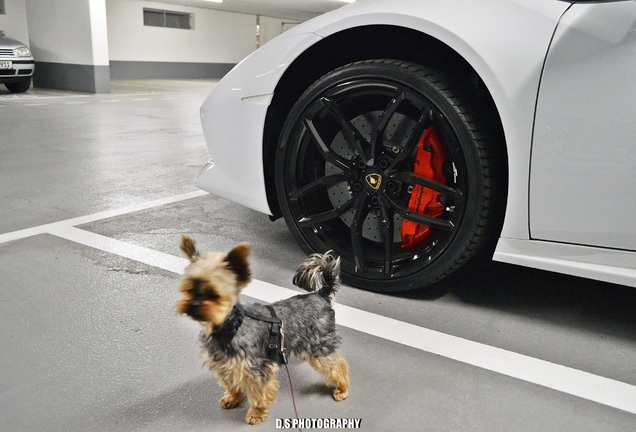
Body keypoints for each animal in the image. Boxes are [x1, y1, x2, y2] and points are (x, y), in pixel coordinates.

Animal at [176, 235, 350, 424]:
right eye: (189, 289)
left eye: (213, 294)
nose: (193, 304)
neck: (230, 327)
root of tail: (321, 295)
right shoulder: (226, 364)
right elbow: (232, 383)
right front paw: (233, 398)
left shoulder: (256, 369)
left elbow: (258, 393)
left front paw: (256, 414)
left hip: (319, 346)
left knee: (338, 365)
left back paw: (342, 388)